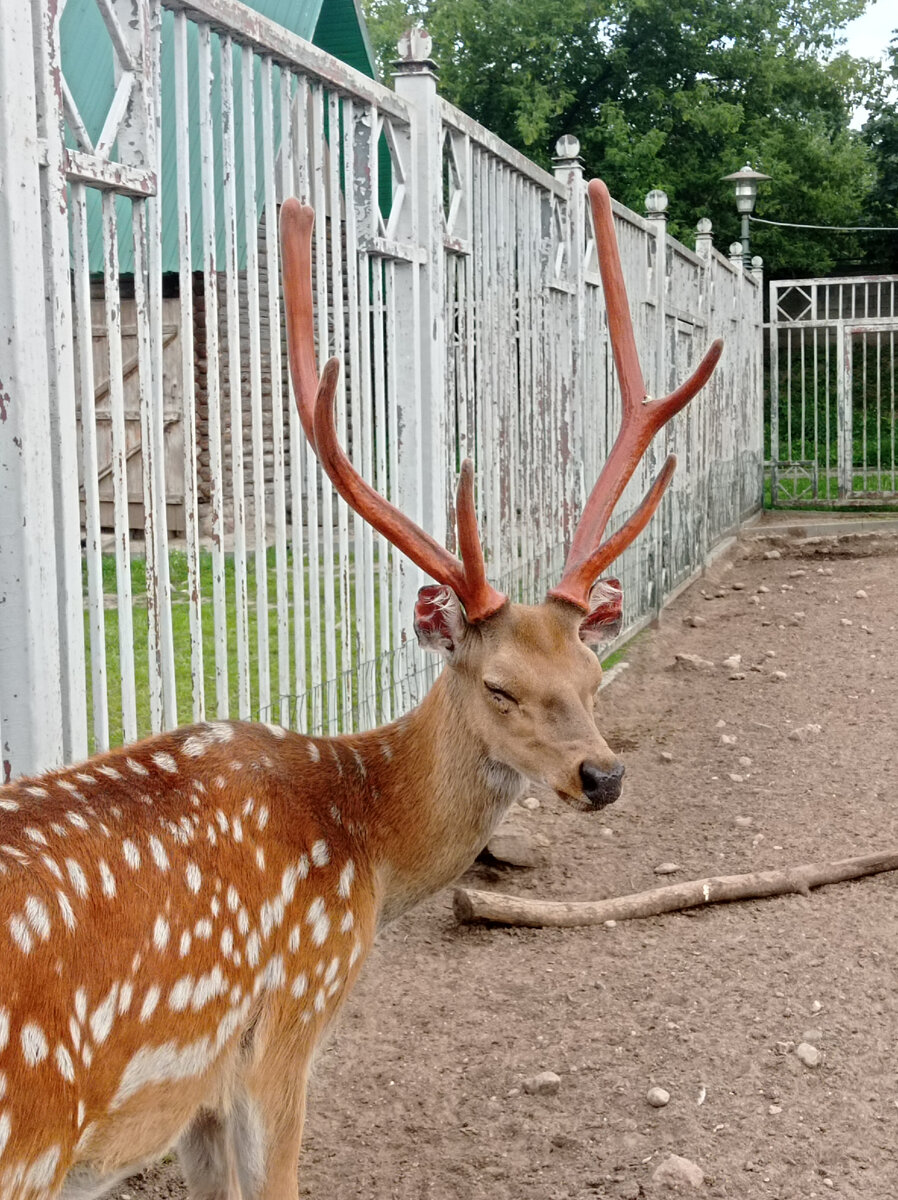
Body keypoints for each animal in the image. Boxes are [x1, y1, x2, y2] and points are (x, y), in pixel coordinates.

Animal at [0, 177, 720, 1200]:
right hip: (30, 1134)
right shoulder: (286, 1019)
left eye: (589, 672)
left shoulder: (195, 1099)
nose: (603, 776)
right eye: (498, 685)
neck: (370, 852)